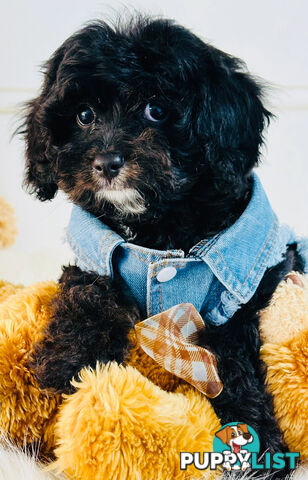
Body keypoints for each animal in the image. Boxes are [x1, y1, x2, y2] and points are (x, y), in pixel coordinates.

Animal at [19, 16, 306, 464]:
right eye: (84, 115)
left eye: (156, 110)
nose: (106, 162)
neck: (159, 227)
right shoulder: (92, 255)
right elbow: (88, 293)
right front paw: (64, 363)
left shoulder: (252, 284)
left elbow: (233, 350)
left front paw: (256, 436)